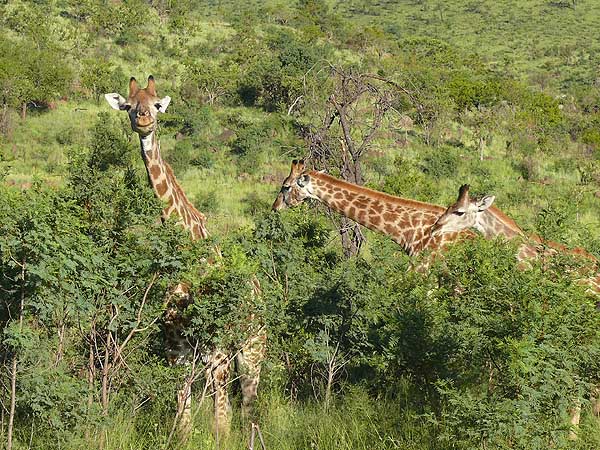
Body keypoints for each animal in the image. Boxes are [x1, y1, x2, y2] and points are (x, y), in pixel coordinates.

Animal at [105, 75, 264, 438]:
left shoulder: (216, 348)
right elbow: (184, 416)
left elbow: (221, 422)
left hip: (252, 349)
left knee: (247, 405)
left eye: (156, 104)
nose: (144, 120)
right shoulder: (175, 346)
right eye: (129, 106)